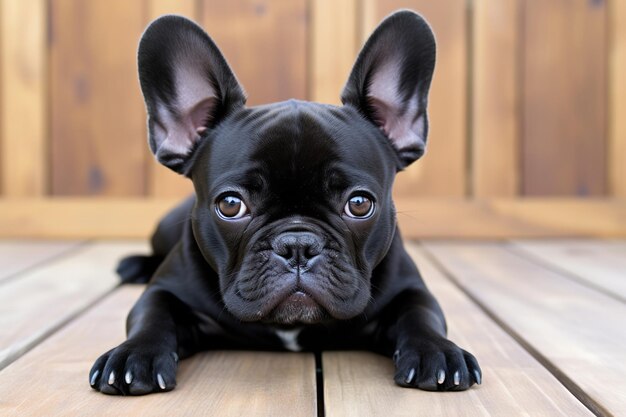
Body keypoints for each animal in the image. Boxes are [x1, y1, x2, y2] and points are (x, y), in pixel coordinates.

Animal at [89, 8, 478, 394]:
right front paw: (133, 355)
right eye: (231, 205)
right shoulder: (165, 290)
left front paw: (436, 352)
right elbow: (151, 315)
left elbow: (421, 313)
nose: (297, 245)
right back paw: (136, 266)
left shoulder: (410, 289)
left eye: (359, 204)